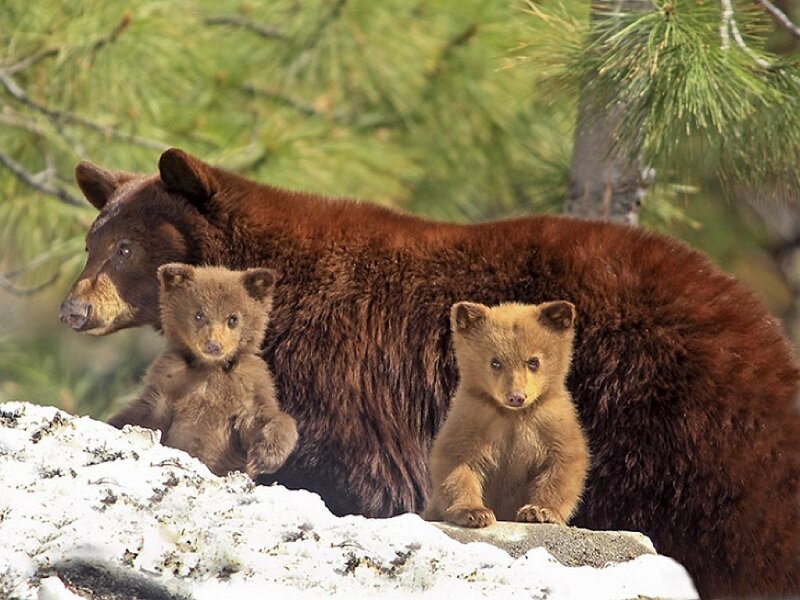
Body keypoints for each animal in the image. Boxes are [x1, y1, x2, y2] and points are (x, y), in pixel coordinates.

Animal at [107, 263, 298, 479]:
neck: (210, 368)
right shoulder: (168, 378)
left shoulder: (250, 386)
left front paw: (265, 456)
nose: (213, 345)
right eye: (198, 315)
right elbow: (145, 413)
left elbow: (263, 418)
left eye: (233, 319)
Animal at [424, 301, 589, 529]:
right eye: (495, 362)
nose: (516, 397)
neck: (512, 416)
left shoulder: (552, 421)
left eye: (534, 361)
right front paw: (475, 513)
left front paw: (539, 511)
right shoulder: (470, 418)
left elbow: (564, 462)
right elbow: (455, 462)